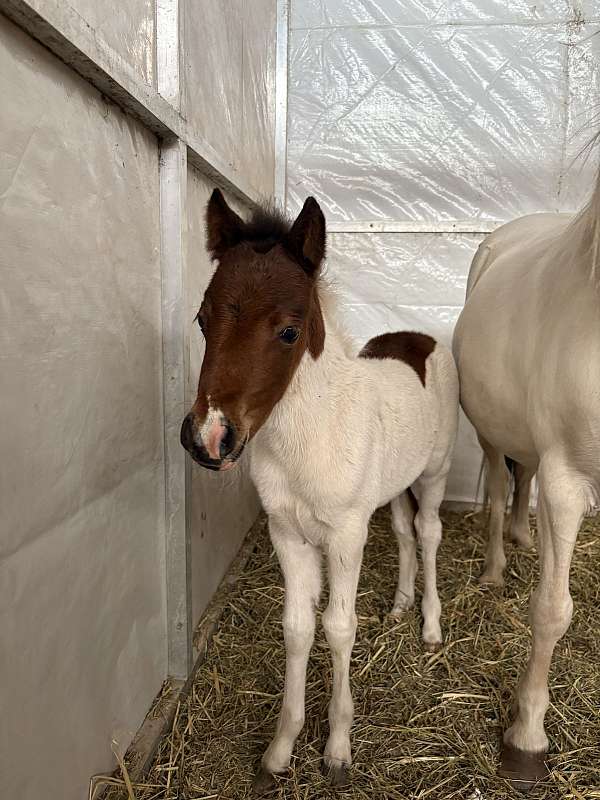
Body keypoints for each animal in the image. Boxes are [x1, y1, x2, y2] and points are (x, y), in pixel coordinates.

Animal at [181, 189, 459, 791]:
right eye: (202, 319)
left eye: (289, 330)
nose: (207, 436)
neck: (306, 440)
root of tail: (419, 336)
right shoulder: (288, 533)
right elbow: (297, 627)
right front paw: (280, 750)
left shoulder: (345, 536)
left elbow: (337, 626)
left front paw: (336, 748)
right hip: (392, 485)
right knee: (404, 532)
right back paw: (400, 606)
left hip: (435, 472)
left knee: (427, 532)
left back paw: (429, 624)